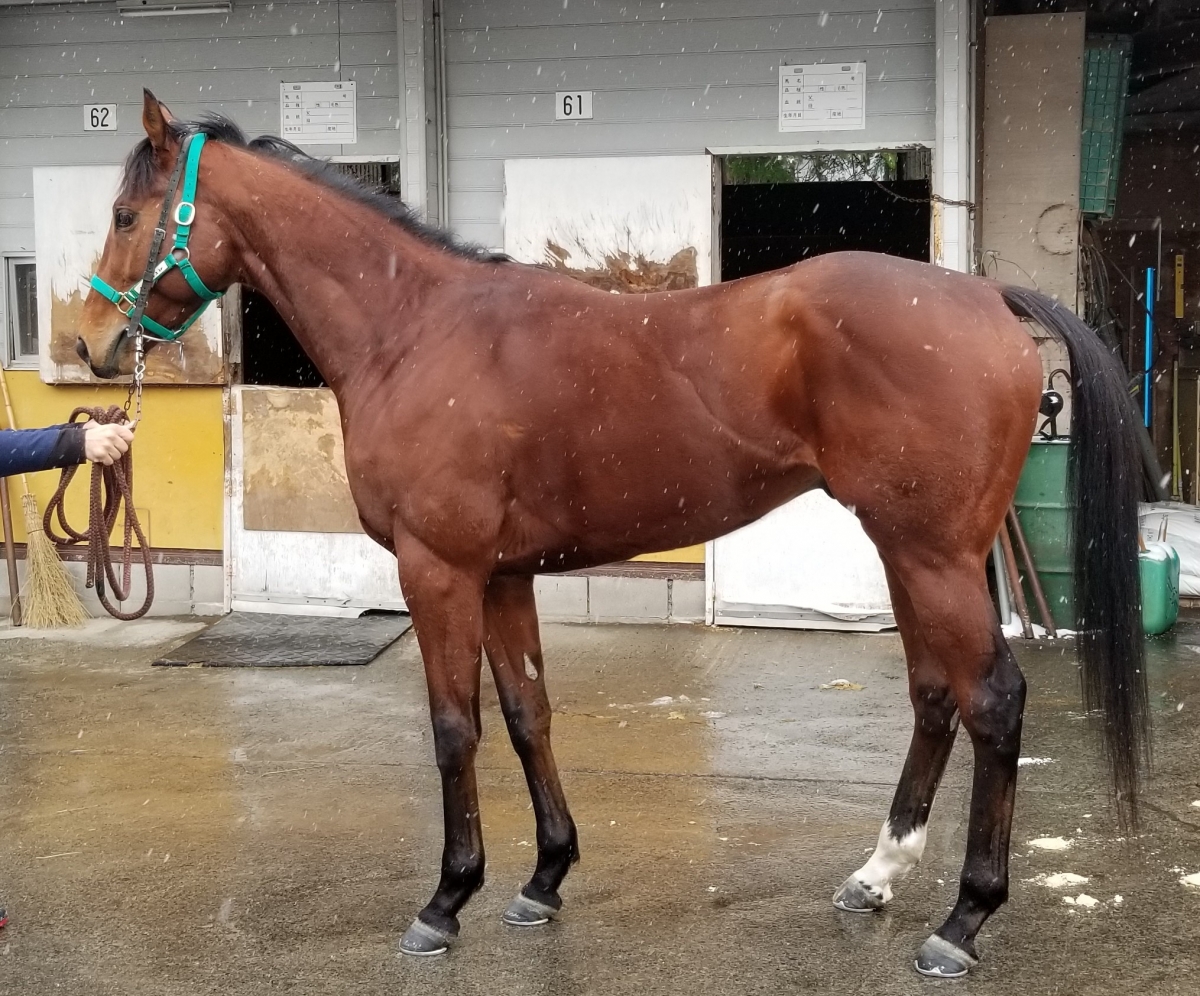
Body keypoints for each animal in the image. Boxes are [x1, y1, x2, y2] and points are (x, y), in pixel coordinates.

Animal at [75, 90, 1149, 978]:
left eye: (126, 216)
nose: (90, 343)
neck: (417, 330)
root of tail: (986, 297)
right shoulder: (504, 576)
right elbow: (526, 715)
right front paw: (542, 878)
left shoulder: (440, 571)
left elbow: (454, 728)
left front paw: (445, 900)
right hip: (911, 552)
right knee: (935, 695)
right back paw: (877, 874)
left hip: (933, 556)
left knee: (994, 702)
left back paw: (962, 923)